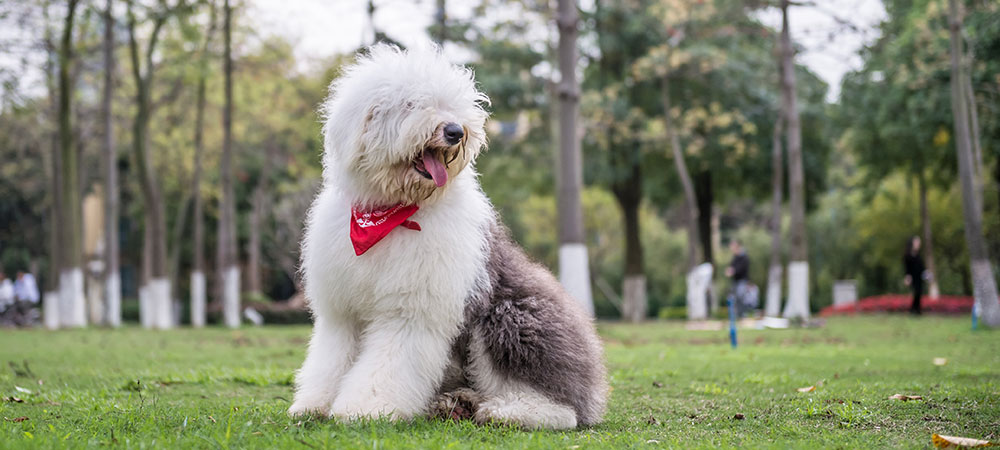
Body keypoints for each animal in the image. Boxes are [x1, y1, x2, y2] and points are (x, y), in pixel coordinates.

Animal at [286, 44, 604, 428]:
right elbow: (332, 359)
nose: (454, 131)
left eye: (453, 105)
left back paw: (505, 411)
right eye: (410, 103)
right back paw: (456, 402)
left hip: (510, 317)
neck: (392, 214)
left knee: (561, 407)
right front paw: (315, 404)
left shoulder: (411, 310)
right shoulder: (341, 312)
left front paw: (366, 408)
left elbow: (388, 363)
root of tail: (592, 391)